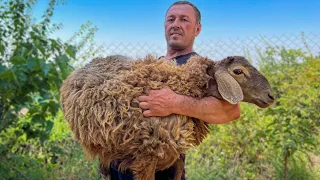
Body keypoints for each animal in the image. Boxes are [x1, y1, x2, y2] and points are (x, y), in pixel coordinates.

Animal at [60, 54, 276, 180]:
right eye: (238, 71)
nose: (271, 96)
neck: (183, 85)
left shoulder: (174, 151)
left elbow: (179, 171)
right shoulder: (147, 155)